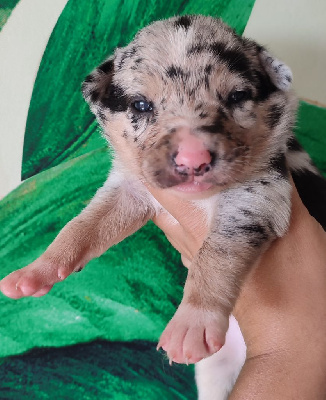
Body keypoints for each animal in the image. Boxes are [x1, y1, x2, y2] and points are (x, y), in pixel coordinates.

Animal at [0, 14, 326, 398]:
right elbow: (83, 225)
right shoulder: (130, 191)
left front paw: (192, 323)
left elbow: (216, 254)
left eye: (237, 96)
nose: (193, 158)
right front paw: (36, 271)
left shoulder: (258, 196)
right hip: (216, 371)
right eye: (141, 105)